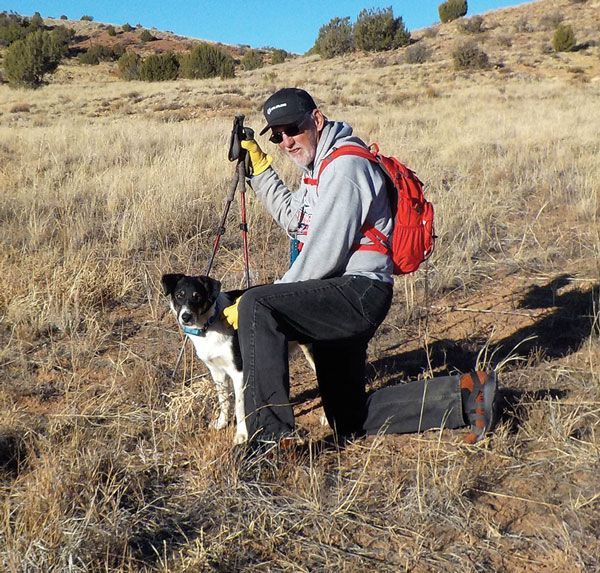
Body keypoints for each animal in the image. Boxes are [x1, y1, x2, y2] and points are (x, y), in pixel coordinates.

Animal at [162, 274, 316, 446]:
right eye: (179, 295)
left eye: (198, 297)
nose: (186, 317)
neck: (210, 324)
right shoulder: (217, 372)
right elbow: (224, 401)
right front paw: (222, 423)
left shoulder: (239, 373)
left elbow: (239, 406)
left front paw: (242, 434)